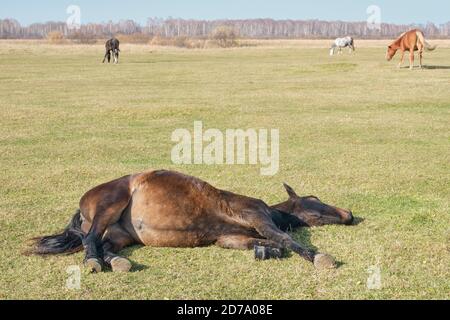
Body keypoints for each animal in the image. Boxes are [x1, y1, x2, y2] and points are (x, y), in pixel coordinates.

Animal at [29, 170, 356, 272]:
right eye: (314, 199)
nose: (350, 214)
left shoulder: (230, 239)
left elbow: (270, 243)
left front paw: (265, 251)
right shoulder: (256, 215)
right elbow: (285, 238)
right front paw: (318, 257)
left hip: (121, 234)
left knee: (104, 245)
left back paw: (118, 262)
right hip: (109, 206)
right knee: (91, 240)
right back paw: (93, 262)